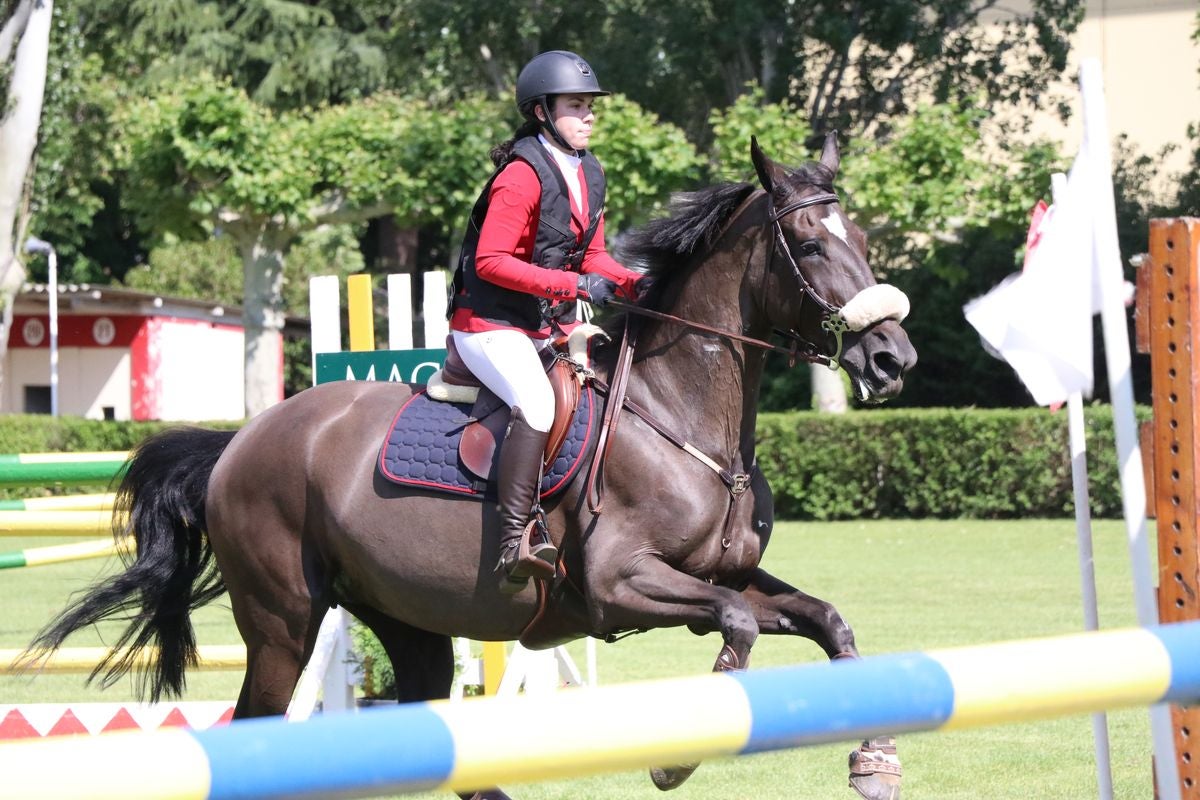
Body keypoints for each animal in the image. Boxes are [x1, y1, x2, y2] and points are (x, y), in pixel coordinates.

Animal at [28, 134, 912, 796]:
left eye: (865, 243)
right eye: (808, 245)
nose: (892, 357)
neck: (681, 416)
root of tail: (241, 440)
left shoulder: (727, 575)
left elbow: (826, 621)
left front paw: (873, 761)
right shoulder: (623, 585)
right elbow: (735, 626)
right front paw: (678, 754)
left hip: (401, 613)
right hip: (283, 621)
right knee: (258, 727)